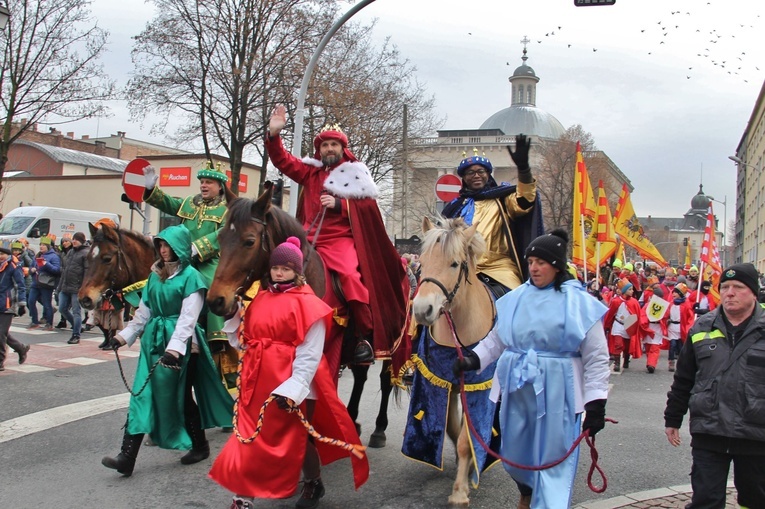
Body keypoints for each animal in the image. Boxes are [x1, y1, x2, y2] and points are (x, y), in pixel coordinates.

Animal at [209, 185, 396, 446]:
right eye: (220, 238)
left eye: (249, 241)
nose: (216, 300)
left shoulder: (327, 348)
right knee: (360, 376)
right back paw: (353, 419)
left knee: (385, 381)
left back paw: (379, 429)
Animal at [412, 216, 496, 506]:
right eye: (421, 263)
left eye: (454, 264)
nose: (421, 310)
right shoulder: (444, 381)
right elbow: (451, 426)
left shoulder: (477, 386)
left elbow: (465, 438)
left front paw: (460, 490)